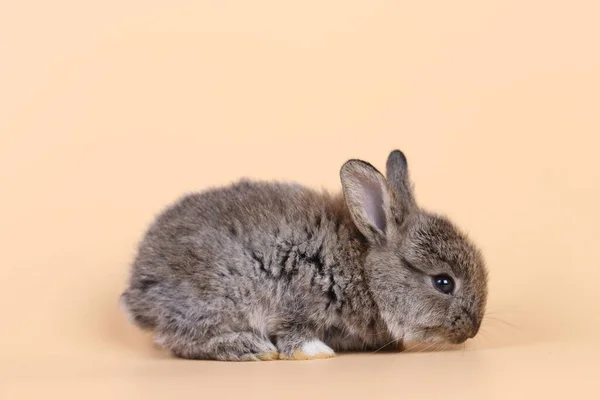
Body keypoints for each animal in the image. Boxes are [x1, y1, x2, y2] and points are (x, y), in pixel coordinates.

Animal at [120, 150, 488, 362]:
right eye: (443, 282)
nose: (472, 331)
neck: (366, 272)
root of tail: (137, 291)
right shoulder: (295, 297)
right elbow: (293, 333)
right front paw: (315, 351)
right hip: (216, 299)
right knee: (182, 339)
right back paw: (250, 348)